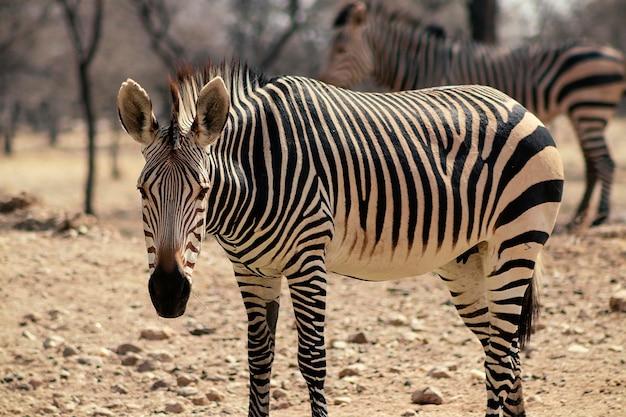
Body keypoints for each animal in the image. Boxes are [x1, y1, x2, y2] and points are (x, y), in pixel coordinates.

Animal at [116, 59, 560, 416]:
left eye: (204, 191)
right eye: (141, 191)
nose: (169, 292)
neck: (257, 174)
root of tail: (515, 103)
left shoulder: (307, 260)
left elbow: (312, 359)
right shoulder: (251, 270)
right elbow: (258, 359)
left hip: (515, 244)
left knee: (501, 354)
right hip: (467, 261)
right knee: (506, 352)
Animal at [320, 0, 620, 231]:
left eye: (341, 50)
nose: (323, 83)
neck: (423, 62)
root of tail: (616, 55)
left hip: (589, 108)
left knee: (604, 161)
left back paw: (600, 216)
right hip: (581, 111)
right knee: (592, 163)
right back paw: (579, 217)